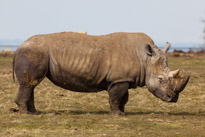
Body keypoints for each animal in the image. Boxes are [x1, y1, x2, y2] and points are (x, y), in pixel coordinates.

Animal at [12, 32, 189, 114]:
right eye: (160, 79)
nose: (173, 98)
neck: (145, 59)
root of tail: (19, 46)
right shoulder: (119, 79)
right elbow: (117, 97)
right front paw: (118, 115)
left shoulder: (123, 79)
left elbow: (124, 98)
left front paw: (122, 112)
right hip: (34, 52)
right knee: (28, 84)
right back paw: (26, 114)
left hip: (35, 52)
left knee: (31, 84)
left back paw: (34, 113)